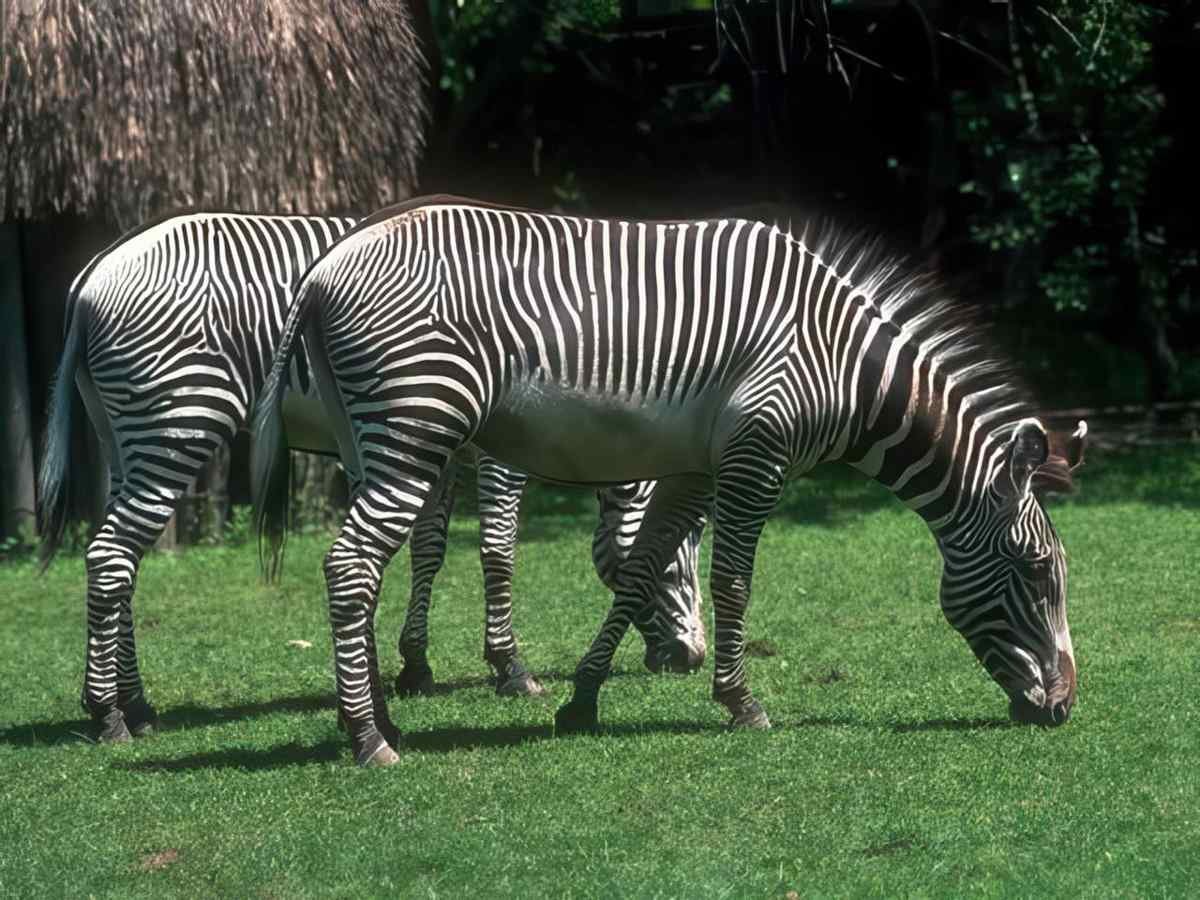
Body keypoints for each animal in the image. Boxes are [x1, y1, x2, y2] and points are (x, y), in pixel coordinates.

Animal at [36, 211, 706, 744]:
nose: (690, 660)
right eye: (672, 568)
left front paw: (413, 668)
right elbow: (496, 550)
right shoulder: (499, 449)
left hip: (124, 435)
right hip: (176, 419)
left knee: (119, 560)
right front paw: (509, 667)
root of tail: (94, 274)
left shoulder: (438, 443)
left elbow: (429, 550)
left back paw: (137, 706)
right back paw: (110, 716)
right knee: (112, 554)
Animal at [250, 195, 1088, 766]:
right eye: (1037, 570)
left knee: (366, 567)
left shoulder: (695, 468)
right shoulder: (757, 455)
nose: (1061, 711)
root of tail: (325, 266)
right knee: (351, 564)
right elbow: (733, 584)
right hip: (417, 423)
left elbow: (638, 570)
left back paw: (378, 716)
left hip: (372, 436)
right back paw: (368, 738)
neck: (846, 364)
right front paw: (741, 703)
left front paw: (582, 701)